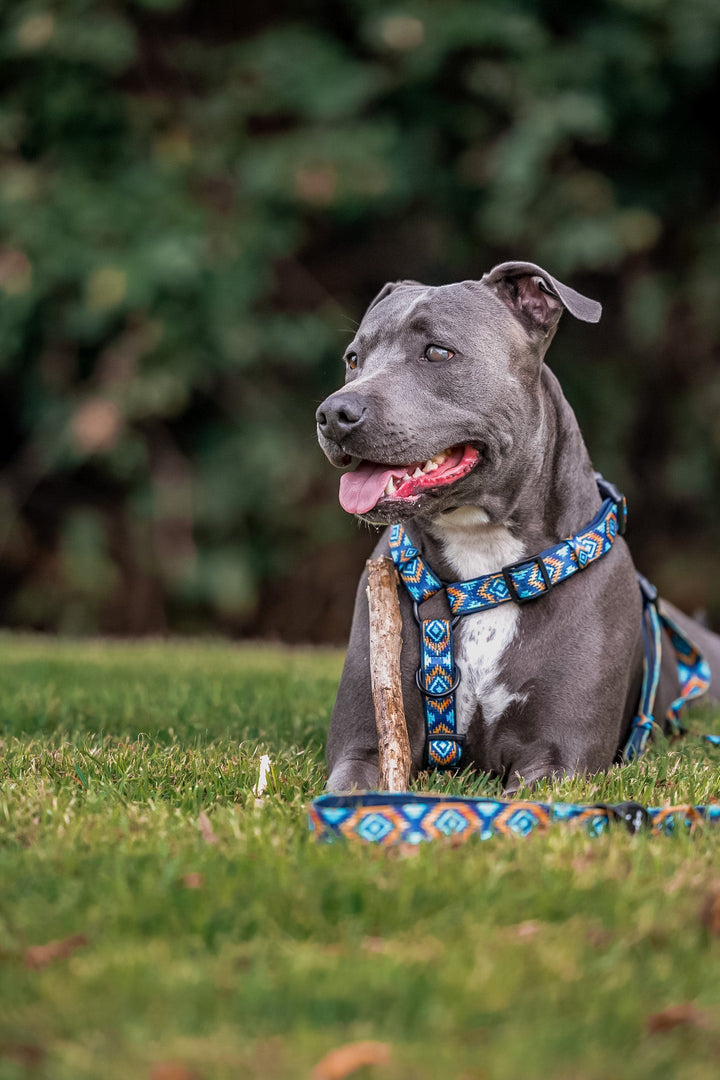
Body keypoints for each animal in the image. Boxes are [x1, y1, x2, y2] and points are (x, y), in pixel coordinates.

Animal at [315, 257, 720, 790]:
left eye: (437, 351)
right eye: (353, 358)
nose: (333, 412)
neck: (483, 561)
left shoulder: (557, 760)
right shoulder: (363, 747)